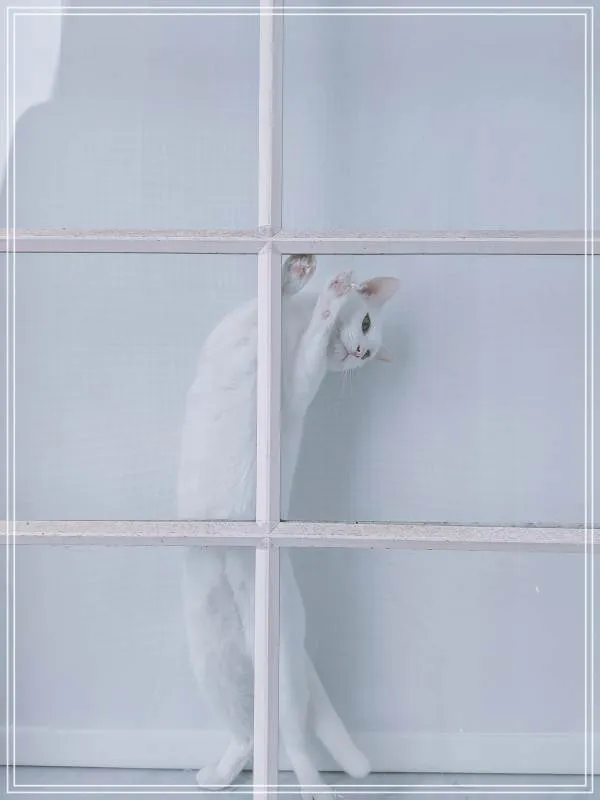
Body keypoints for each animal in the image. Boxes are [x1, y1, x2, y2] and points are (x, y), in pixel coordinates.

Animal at [178, 256, 399, 799]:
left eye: (365, 356)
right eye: (366, 325)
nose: (359, 351)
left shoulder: (295, 392)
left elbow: (310, 339)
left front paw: (323, 294)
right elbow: (270, 297)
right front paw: (299, 276)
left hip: (281, 669)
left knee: (293, 740)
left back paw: (316, 788)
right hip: (211, 659)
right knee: (247, 734)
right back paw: (218, 776)